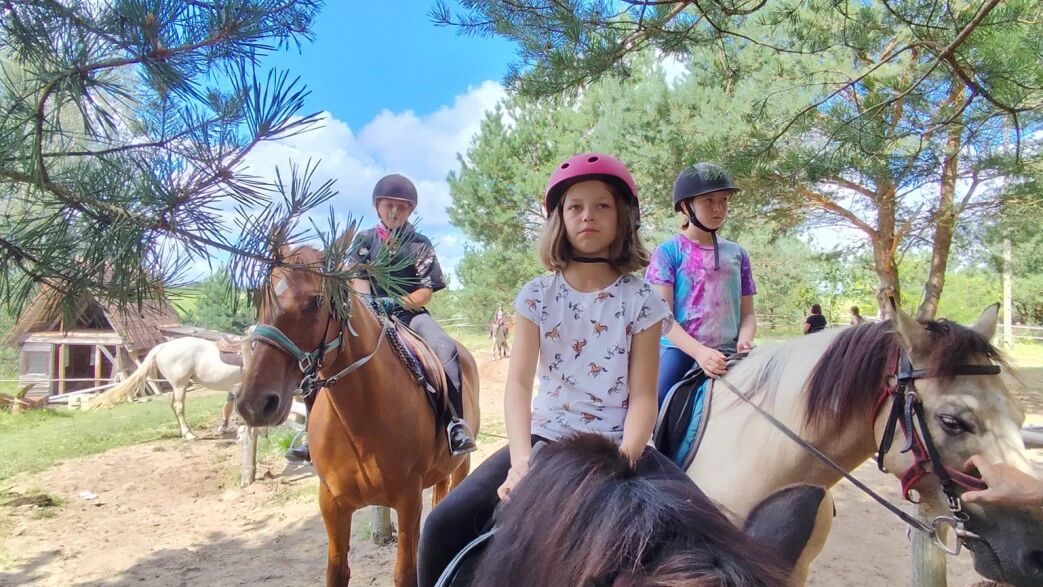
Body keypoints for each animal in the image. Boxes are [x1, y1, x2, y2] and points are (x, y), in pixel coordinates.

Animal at [90, 335, 250, 439]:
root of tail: (163, 346)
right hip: (180, 384)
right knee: (179, 406)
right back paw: (188, 434)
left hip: (179, 386)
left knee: (174, 406)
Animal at [235, 244, 479, 587]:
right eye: (260, 299)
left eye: (316, 301)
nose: (255, 404)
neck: (359, 424)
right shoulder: (331, 502)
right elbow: (337, 570)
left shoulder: (408, 500)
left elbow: (405, 572)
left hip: (461, 465)